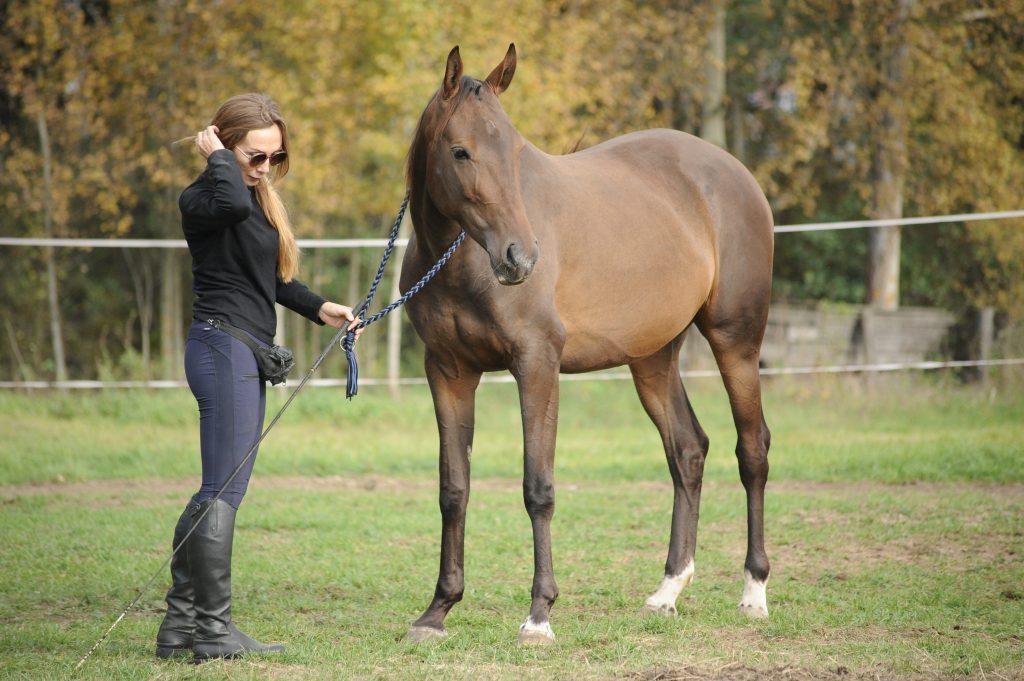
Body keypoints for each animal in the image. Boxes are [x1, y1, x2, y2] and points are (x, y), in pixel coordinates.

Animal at [399, 43, 774, 643]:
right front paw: (437, 611)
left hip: (736, 341)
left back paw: (754, 592)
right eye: (460, 151)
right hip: (652, 359)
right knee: (687, 450)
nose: (520, 257)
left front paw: (538, 616)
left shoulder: (536, 365)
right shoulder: (448, 372)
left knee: (752, 450)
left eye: (517, 152)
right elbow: (453, 489)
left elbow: (538, 488)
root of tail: (735, 174)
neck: (459, 262)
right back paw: (668, 591)